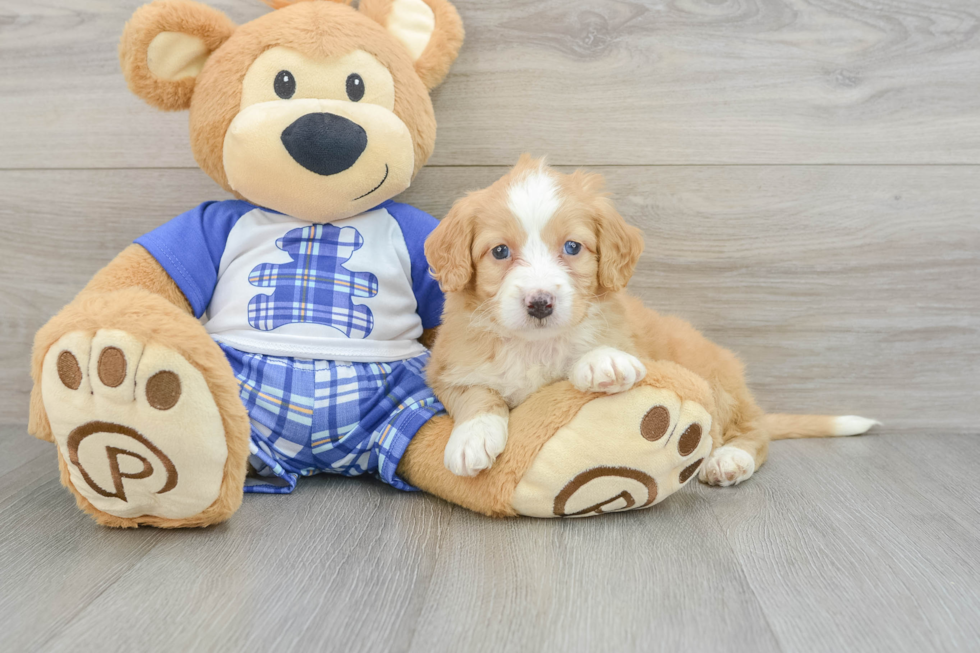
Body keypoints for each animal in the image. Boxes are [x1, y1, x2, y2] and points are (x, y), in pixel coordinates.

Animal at [424, 153, 876, 478]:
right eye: (499, 251)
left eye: (572, 247)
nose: (540, 303)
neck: (535, 345)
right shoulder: (448, 368)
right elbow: (477, 394)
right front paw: (471, 438)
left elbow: (599, 350)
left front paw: (601, 360)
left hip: (719, 384)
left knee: (754, 432)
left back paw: (732, 458)